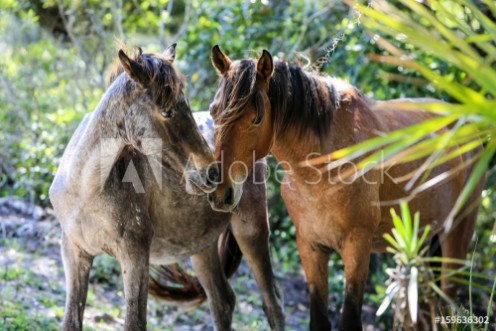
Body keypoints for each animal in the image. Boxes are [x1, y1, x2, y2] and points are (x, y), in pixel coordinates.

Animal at [50, 44, 284, 331]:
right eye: (167, 111)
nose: (214, 174)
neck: (85, 188)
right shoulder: (74, 254)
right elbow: (71, 321)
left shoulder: (135, 258)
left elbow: (135, 323)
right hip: (202, 247)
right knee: (223, 301)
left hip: (251, 232)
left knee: (272, 304)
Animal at [206, 45, 484, 330]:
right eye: (213, 111)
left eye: (257, 118)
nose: (221, 192)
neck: (322, 170)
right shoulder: (311, 246)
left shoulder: (357, 247)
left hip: (457, 234)